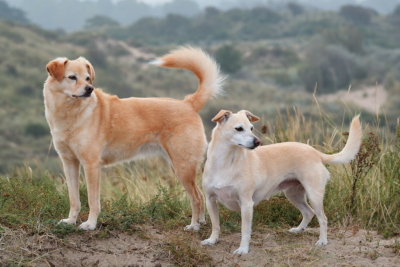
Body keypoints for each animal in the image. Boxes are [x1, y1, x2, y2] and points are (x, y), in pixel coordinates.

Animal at [43, 47, 225, 231]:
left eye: (87, 78)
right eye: (72, 77)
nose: (89, 89)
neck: (71, 113)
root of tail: (189, 103)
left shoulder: (91, 164)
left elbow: (93, 201)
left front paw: (90, 224)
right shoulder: (69, 163)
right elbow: (74, 199)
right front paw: (70, 221)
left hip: (183, 167)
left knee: (196, 198)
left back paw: (194, 226)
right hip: (179, 167)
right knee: (200, 195)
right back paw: (201, 222)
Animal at [202, 111, 360, 255]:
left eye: (251, 128)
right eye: (239, 128)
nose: (257, 142)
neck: (226, 162)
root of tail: (316, 152)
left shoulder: (246, 204)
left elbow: (245, 231)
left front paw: (243, 249)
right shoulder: (210, 200)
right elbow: (215, 225)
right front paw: (212, 240)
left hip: (314, 195)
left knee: (323, 219)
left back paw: (322, 240)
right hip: (293, 195)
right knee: (308, 212)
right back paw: (299, 229)